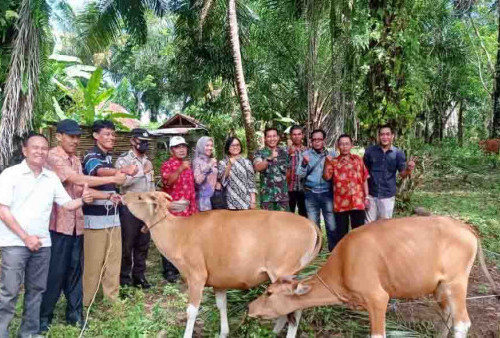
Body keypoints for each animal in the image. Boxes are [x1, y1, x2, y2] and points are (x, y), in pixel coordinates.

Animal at [248, 218, 498, 336]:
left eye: (268, 292)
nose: (250, 307)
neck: (344, 264)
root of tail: (466, 228)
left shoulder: (378, 299)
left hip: (457, 283)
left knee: (462, 323)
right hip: (440, 287)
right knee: (447, 316)